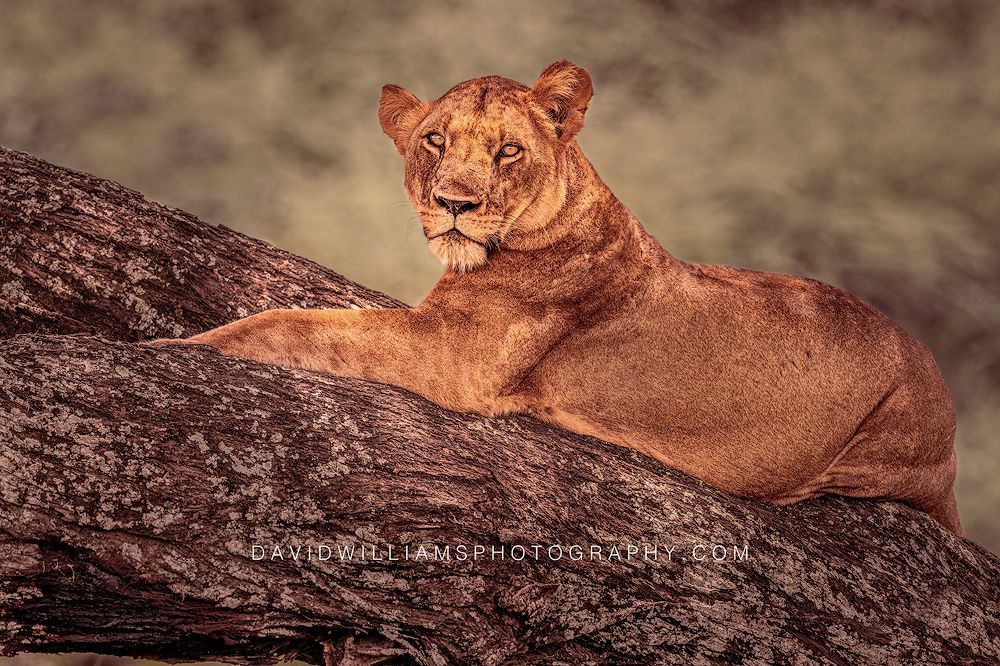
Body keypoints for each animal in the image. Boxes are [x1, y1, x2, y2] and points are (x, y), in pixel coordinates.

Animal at [155, 60, 962, 534]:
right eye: (435, 141)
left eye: (508, 149)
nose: (455, 204)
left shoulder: (453, 359)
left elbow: (293, 322)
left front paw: (173, 348)